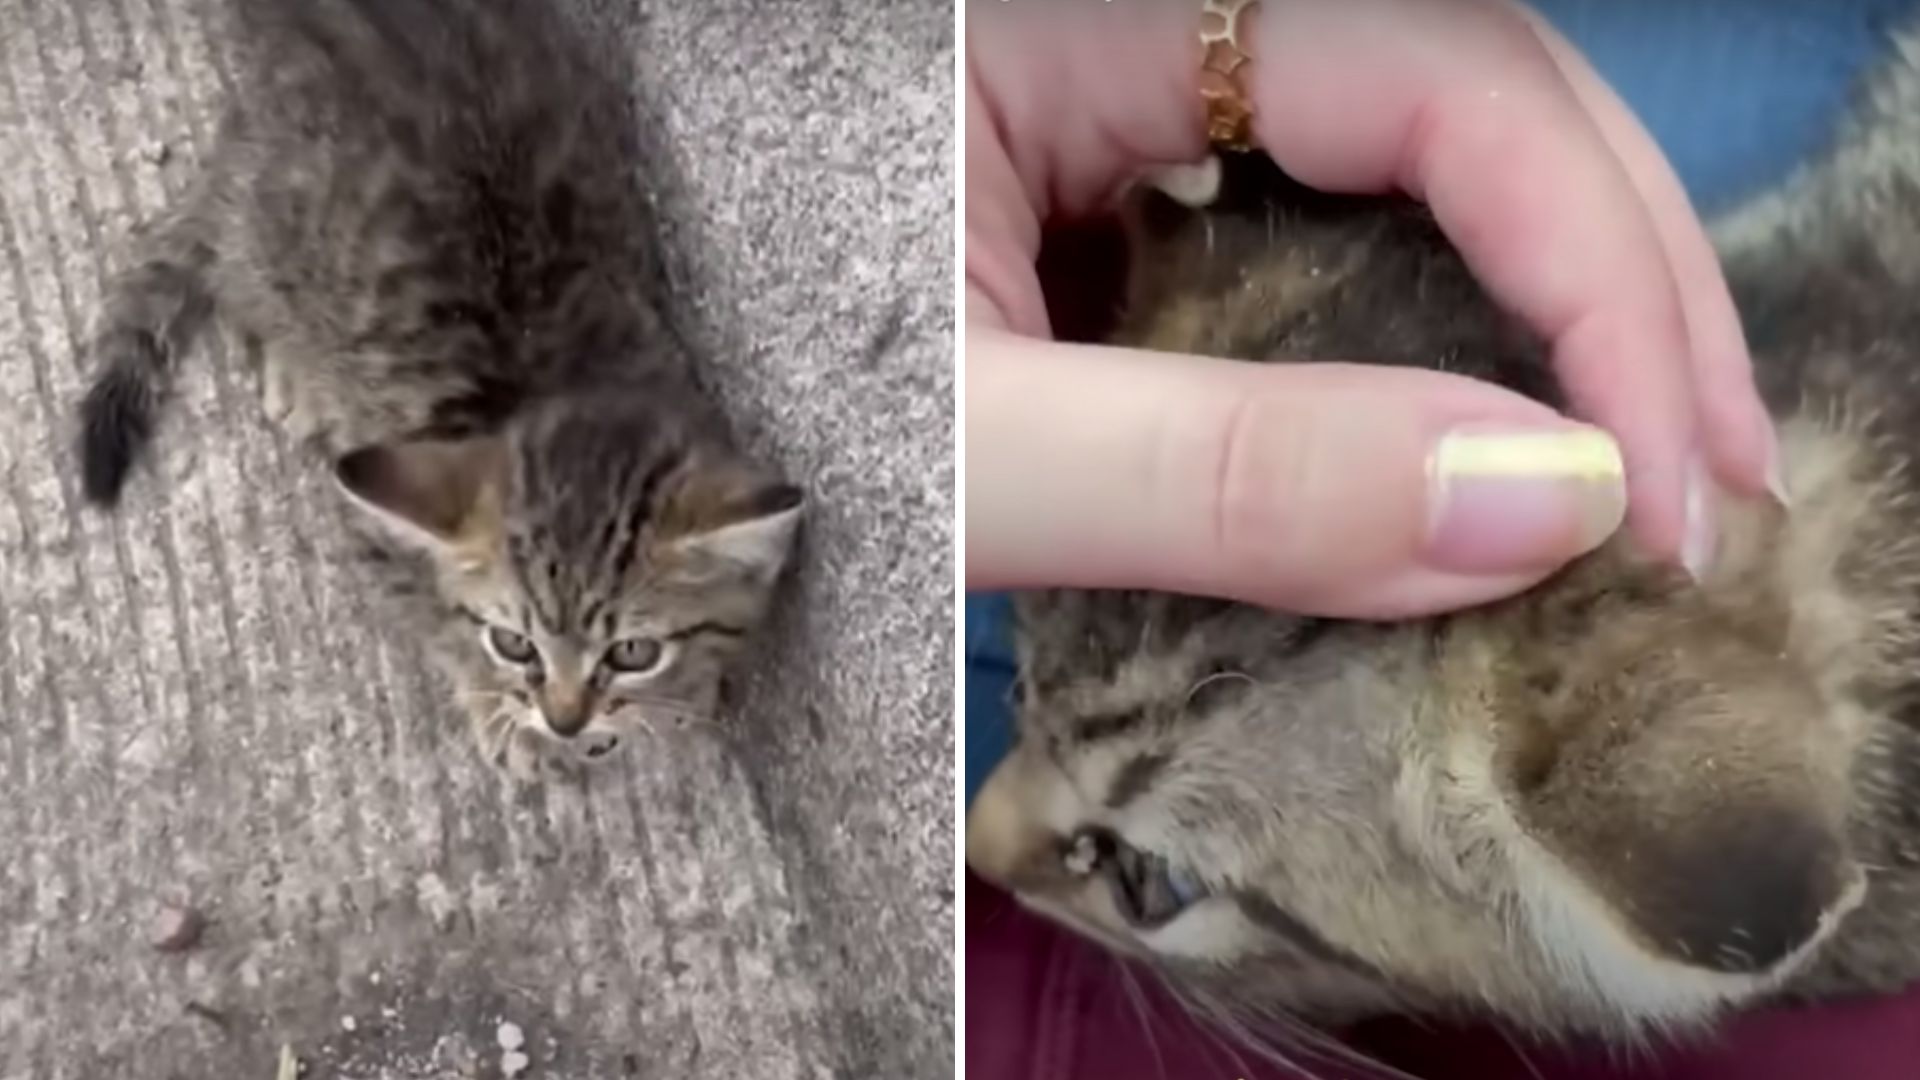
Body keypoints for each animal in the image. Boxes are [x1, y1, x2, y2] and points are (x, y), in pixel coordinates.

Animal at [71, 0, 798, 772]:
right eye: (513, 643)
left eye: (632, 651)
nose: (564, 720)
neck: (559, 381)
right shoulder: (375, 535)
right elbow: (434, 621)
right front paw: (499, 713)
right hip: (268, 238)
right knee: (233, 273)